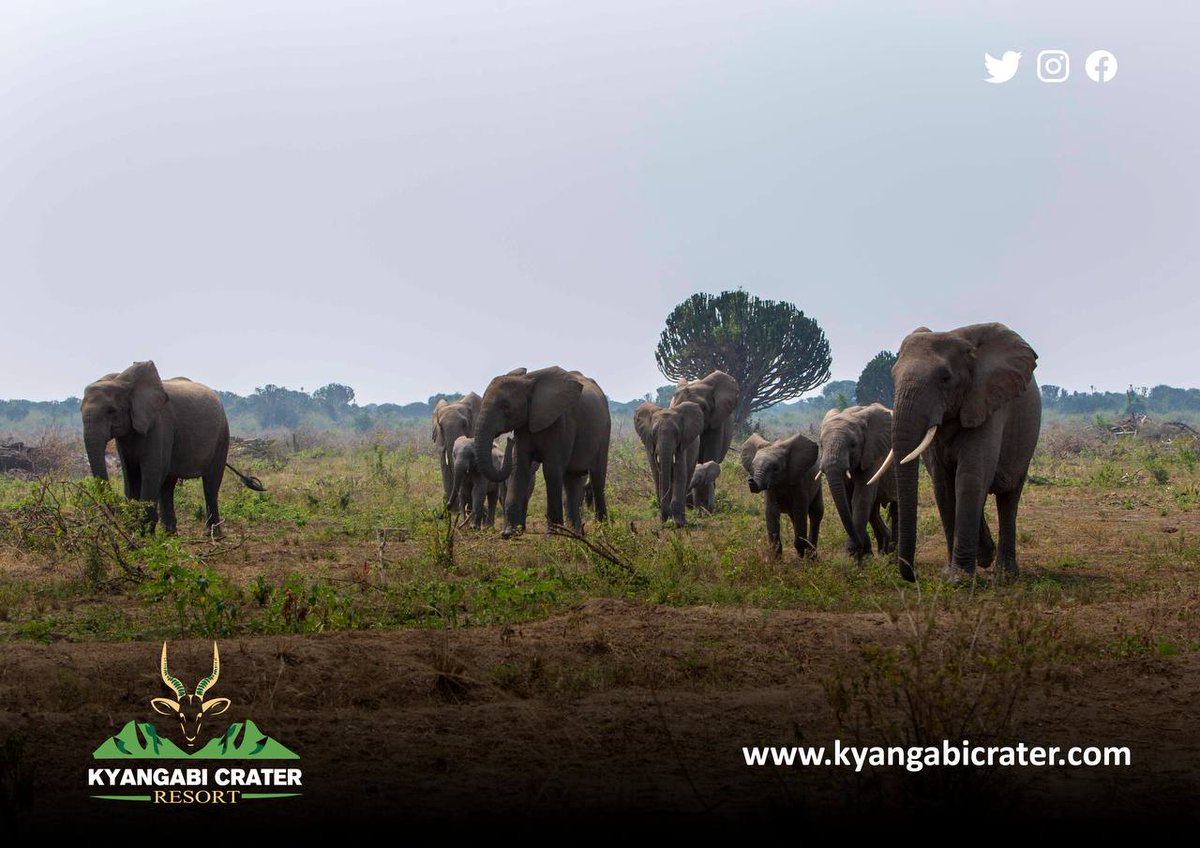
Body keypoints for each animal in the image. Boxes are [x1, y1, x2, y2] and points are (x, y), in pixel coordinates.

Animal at [475, 364, 609, 537]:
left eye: (506, 406)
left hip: (604, 432)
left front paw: (553, 535)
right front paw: (509, 533)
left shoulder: (561, 421)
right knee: (571, 481)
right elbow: (519, 467)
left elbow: (551, 469)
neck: (527, 381)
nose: (509, 439)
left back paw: (601, 532)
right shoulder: (524, 424)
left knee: (597, 479)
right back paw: (575, 535)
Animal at [820, 403, 897, 556]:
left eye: (853, 445)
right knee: (873, 511)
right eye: (820, 445)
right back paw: (884, 550)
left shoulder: (873, 453)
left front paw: (854, 550)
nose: (857, 545)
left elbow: (861, 497)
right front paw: (862, 554)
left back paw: (892, 553)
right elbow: (848, 499)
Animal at [883, 321, 1041, 580]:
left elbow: (969, 477)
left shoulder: (986, 401)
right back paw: (985, 556)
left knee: (1008, 497)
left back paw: (1005, 574)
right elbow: (944, 486)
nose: (914, 575)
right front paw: (949, 573)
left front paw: (959, 579)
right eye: (893, 376)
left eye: (945, 378)